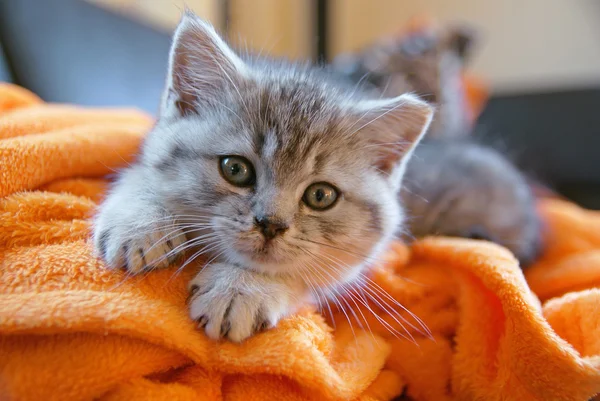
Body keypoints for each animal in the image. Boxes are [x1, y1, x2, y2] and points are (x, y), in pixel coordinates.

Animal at [92, 13, 432, 344]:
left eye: (321, 196)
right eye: (235, 169)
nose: (271, 225)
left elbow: (307, 275)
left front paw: (241, 287)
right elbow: (141, 173)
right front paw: (141, 224)